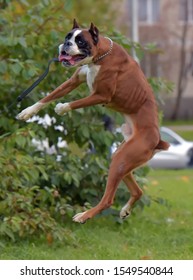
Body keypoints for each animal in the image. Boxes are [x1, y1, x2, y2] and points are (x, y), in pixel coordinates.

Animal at [17, 19, 170, 223]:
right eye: (68, 37)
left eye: (81, 41)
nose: (66, 44)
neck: (100, 56)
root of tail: (157, 140)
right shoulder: (73, 81)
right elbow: (48, 97)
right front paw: (27, 112)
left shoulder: (101, 95)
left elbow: (75, 102)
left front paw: (62, 108)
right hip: (122, 159)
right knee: (137, 191)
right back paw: (125, 210)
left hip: (121, 160)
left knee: (108, 200)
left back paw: (84, 216)